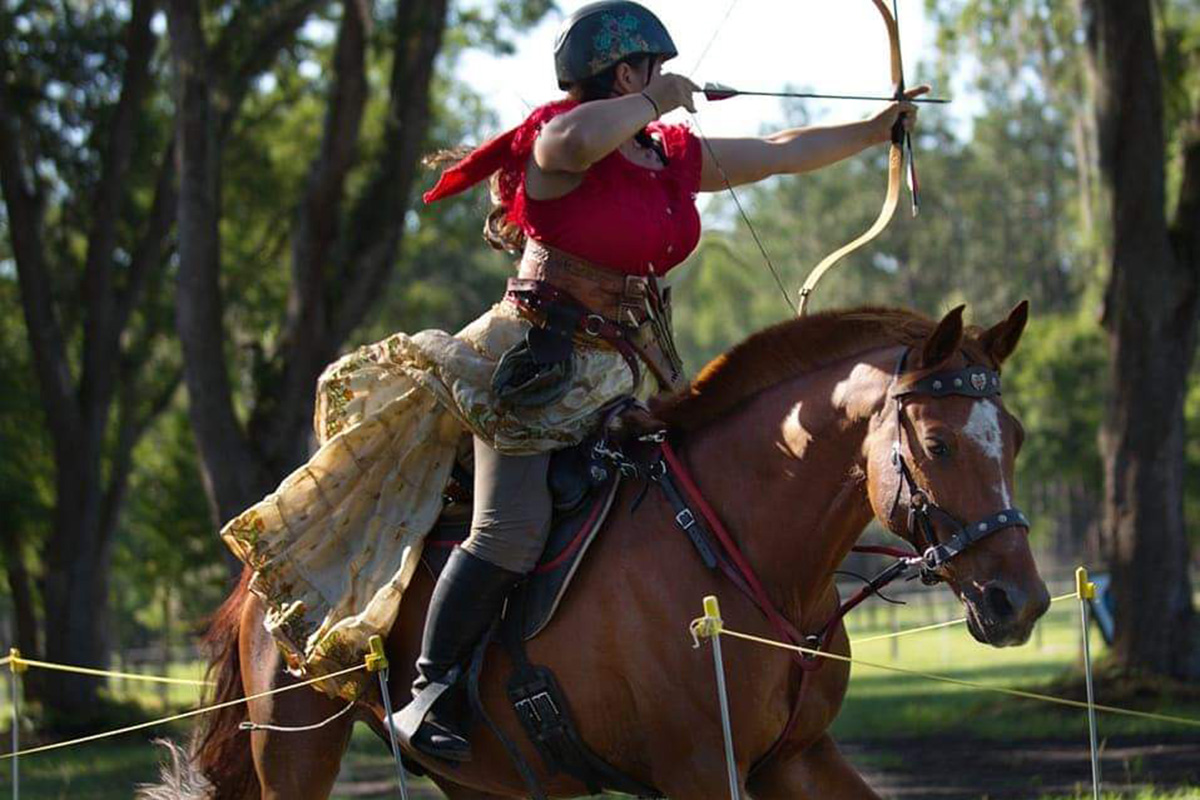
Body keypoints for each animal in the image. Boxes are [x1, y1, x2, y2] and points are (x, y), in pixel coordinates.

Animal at [147, 302, 1051, 800]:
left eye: (1014, 437)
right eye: (936, 443)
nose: (1022, 602)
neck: (739, 552)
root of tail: (258, 581)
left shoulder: (796, 761)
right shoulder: (702, 772)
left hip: (482, 782)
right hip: (294, 750)